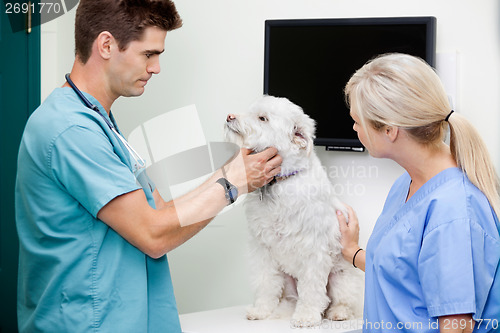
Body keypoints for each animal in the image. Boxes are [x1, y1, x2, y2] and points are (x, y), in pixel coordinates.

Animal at [225, 94, 362, 326]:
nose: (229, 116)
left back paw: (337, 313)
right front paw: (261, 310)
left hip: (341, 278)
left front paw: (306, 316)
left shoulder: (314, 251)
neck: (280, 182)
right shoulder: (263, 250)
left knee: (338, 301)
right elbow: (266, 283)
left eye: (262, 118)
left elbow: (312, 290)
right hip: (288, 283)